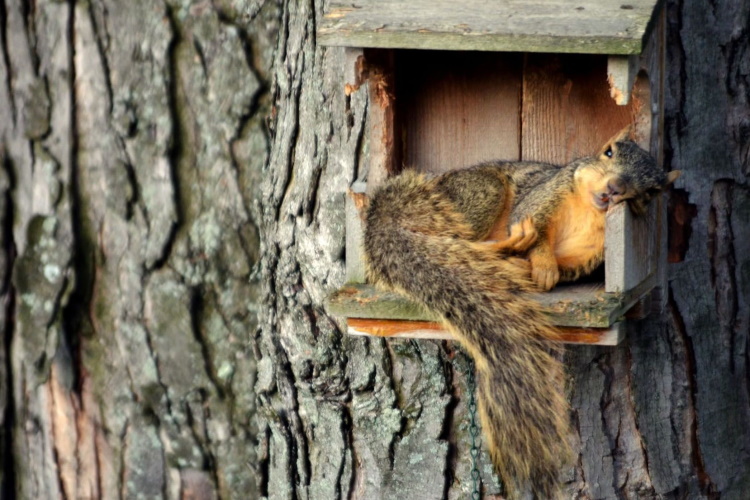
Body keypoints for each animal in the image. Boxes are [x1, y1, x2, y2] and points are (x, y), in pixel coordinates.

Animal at [362, 130, 684, 500]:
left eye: (651, 192)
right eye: (608, 152)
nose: (615, 188)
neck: (589, 212)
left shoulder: (586, 260)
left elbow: (561, 271)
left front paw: (537, 271)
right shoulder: (539, 199)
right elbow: (533, 231)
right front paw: (541, 264)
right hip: (476, 194)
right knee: (458, 239)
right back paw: (502, 248)